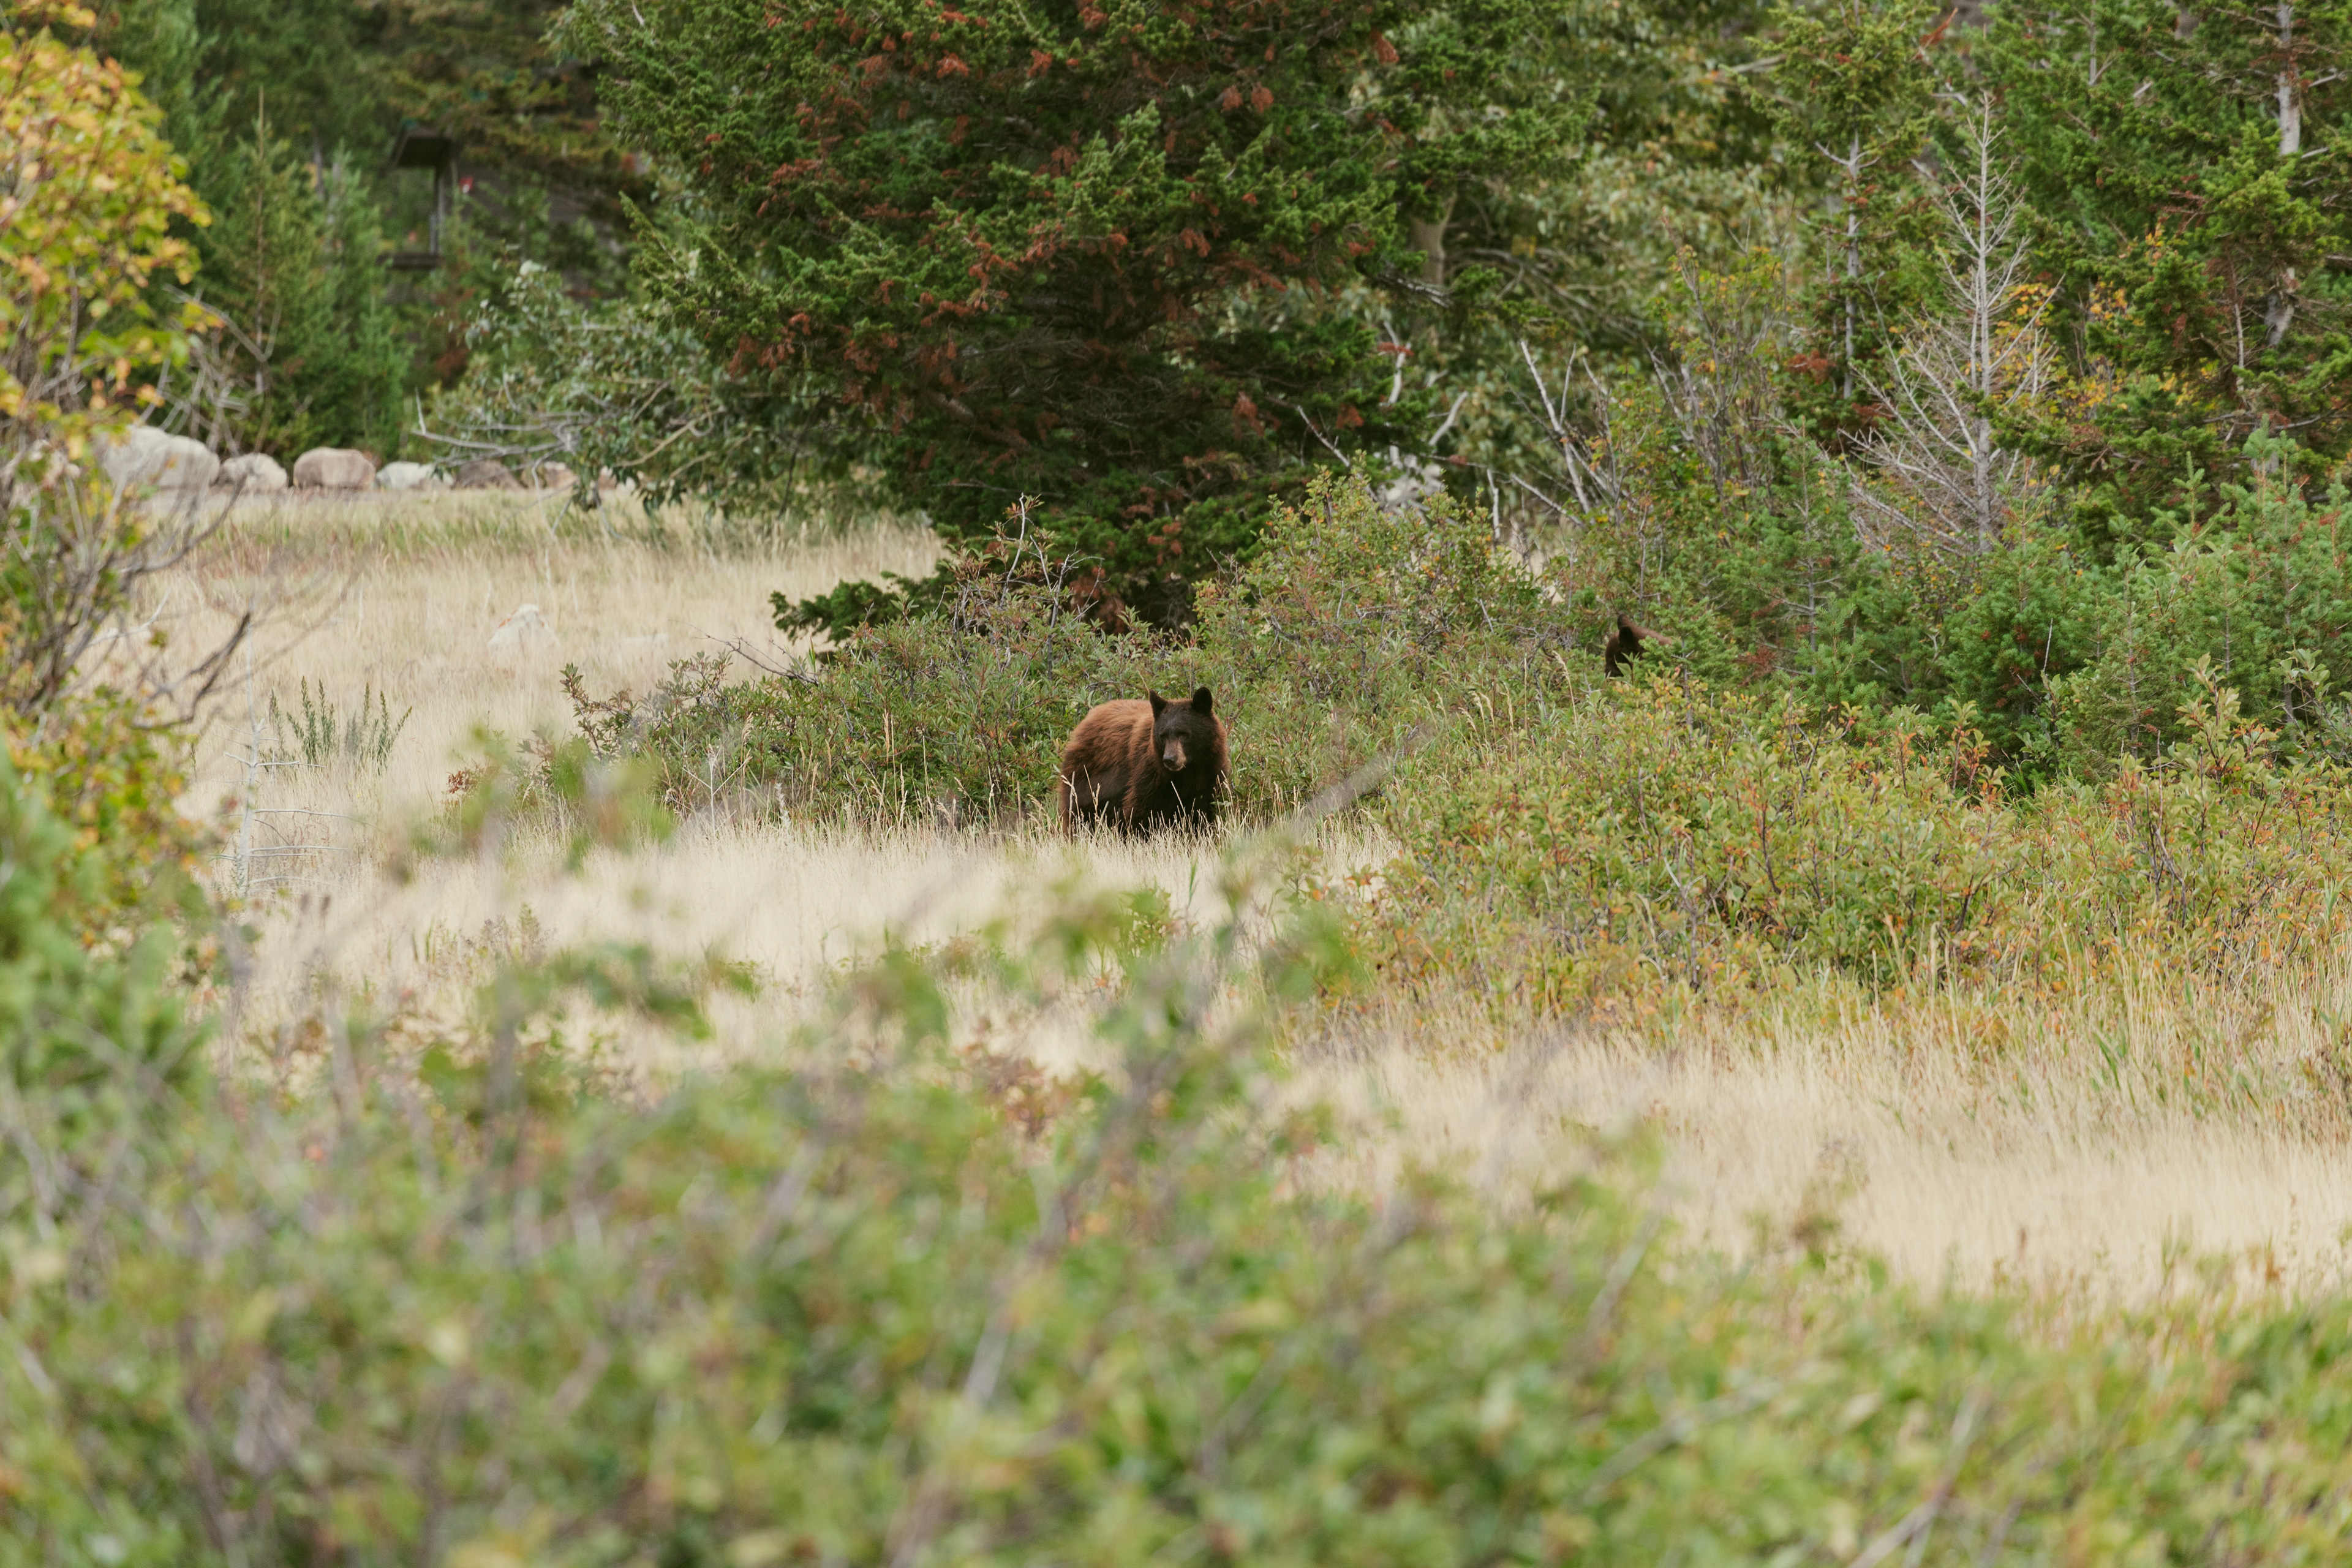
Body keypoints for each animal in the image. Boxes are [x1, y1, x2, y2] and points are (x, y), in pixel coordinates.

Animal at [1058, 686, 1229, 835]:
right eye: (1163, 735)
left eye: (1184, 734)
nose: (1170, 759)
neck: (1189, 770)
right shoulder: (1151, 775)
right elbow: (1143, 812)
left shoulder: (1210, 775)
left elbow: (1201, 813)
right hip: (1087, 775)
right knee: (1080, 813)